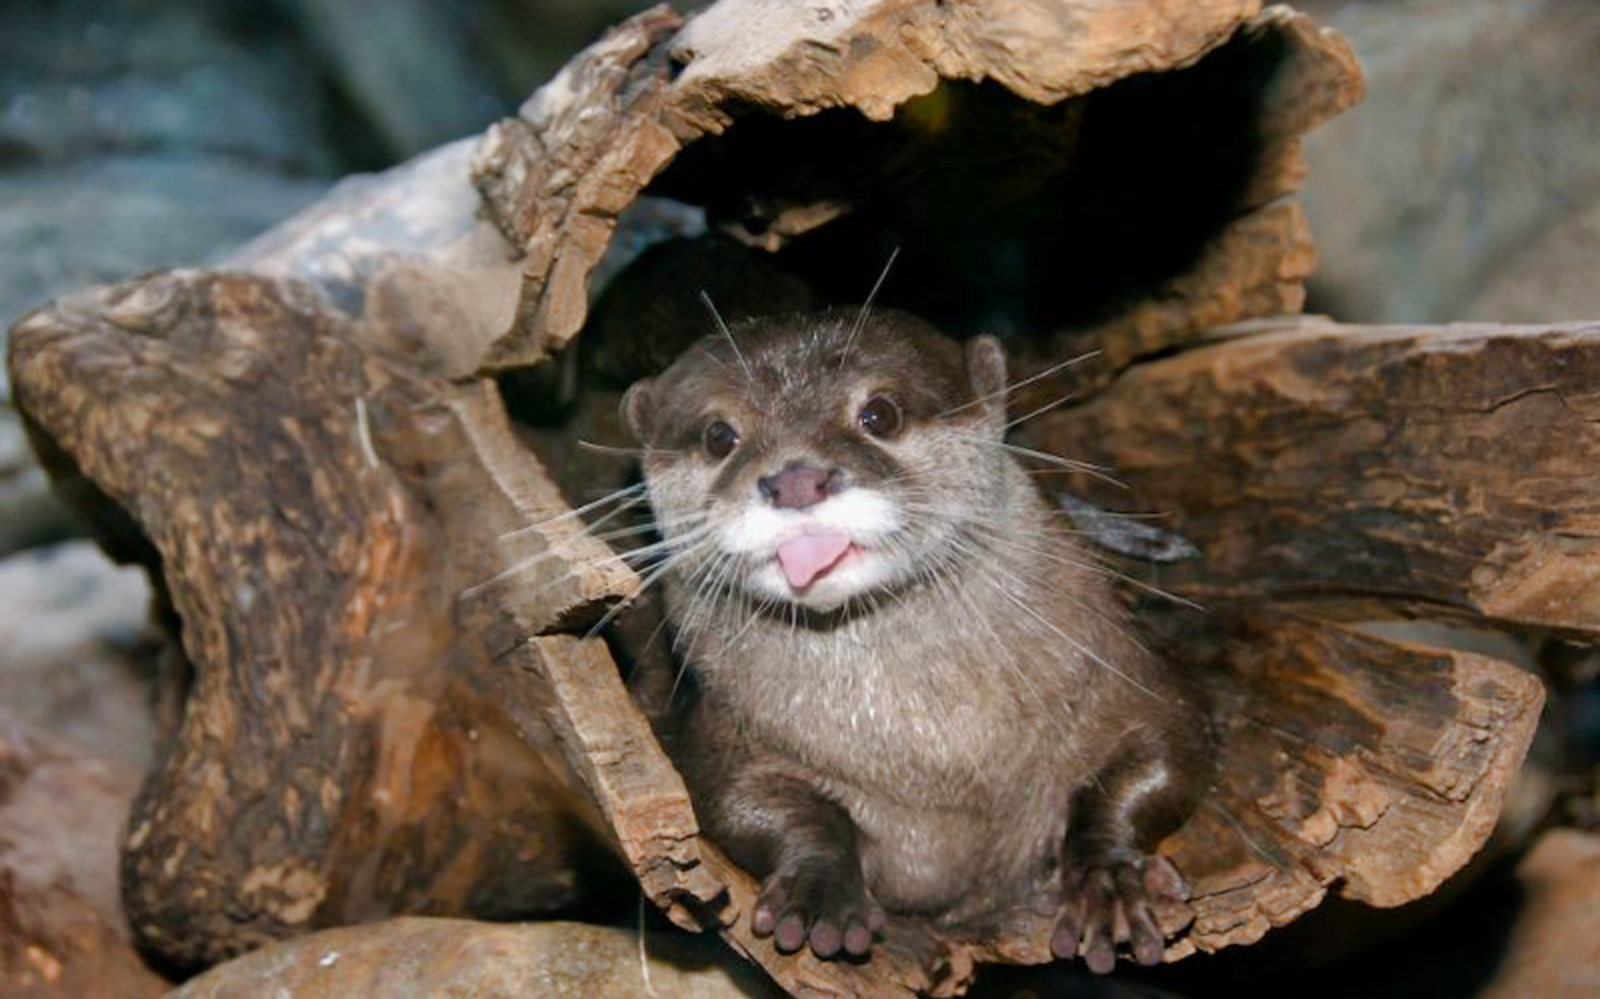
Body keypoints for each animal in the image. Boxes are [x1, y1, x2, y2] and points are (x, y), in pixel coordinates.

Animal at [620, 308, 1209, 973]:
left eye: (880, 414)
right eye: (720, 435)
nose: (798, 479)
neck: (934, 758)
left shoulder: (1118, 664)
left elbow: (1167, 744)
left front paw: (1106, 880)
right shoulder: (724, 729)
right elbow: (739, 799)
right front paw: (821, 888)